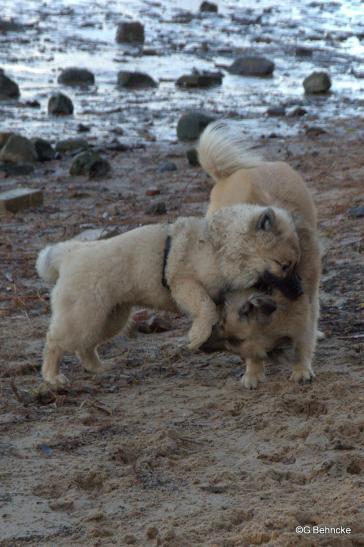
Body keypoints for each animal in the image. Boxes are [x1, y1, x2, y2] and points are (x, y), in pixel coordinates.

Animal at [36, 203, 302, 388]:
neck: (219, 247)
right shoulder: (184, 283)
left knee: (85, 345)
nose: (299, 292)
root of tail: (69, 253)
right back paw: (52, 376)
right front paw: (196, 337)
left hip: (110, 318)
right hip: (83, 315)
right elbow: (206, 308)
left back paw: (98, 367)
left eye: (293, 264)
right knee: (54, 341)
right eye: (284, 266)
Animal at [196, 121, 322, 386]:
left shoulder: (308, 296)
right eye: (283, 266)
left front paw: (301, 367)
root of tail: (229, 173)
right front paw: (253, 372)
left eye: (293, 264)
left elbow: (304, 334)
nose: (299, 291)